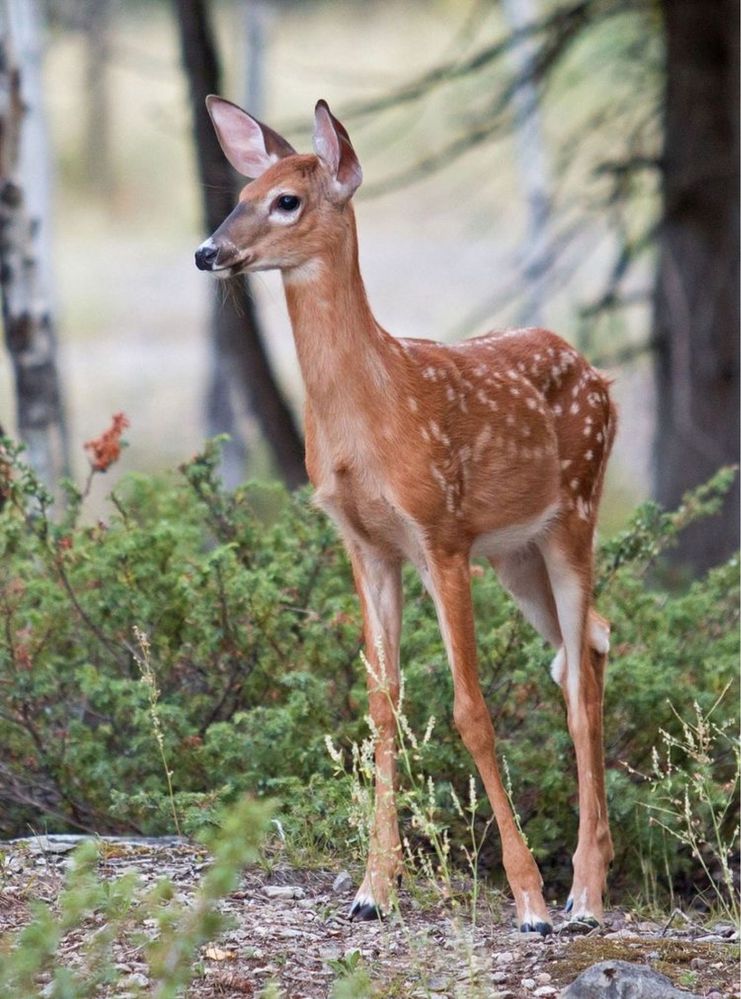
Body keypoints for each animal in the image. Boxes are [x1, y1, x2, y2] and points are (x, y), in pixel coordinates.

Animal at [194, 95, 616, 936]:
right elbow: (380, 706)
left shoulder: (439, 532)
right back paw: (598, 871)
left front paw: (528, 901)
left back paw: (581, 897)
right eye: (239, 194)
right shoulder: (366, 544)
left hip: (574, 511)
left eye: (285, 200)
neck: (371, 410)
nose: (207, 251)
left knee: (579, 684)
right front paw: (371, 889)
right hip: (515, 554)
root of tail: (599, 377)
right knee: (585, 646)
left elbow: (470, 710)